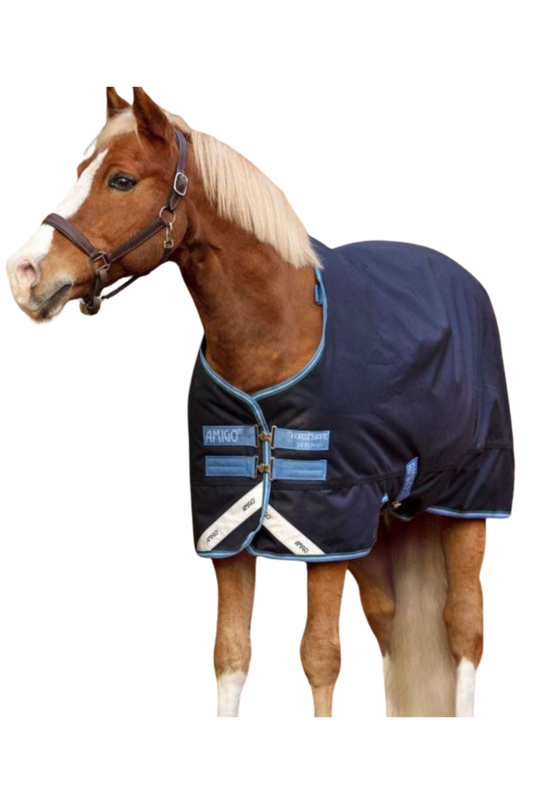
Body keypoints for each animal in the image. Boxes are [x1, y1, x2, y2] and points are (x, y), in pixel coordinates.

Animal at [3, 84, 516, 720]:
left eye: (121, 180)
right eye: (77, 173)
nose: (22, 274)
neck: (275, 335)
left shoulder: (326, 534)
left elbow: (320, 656)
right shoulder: (229, 533)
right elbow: (231, 655)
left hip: (469, 505)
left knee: (464, 628)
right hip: (379, 521)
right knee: (388, 627)